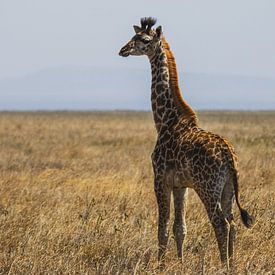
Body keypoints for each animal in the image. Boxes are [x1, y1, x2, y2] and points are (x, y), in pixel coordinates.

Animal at [119, 17, 256, 270]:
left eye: (143, 40)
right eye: (132, 37)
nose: (123, 50)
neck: (165, 120)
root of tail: (229, 156)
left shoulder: (160, 179)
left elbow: (162, 227)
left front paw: (161, 266)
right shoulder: (180, 185)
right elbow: (179, 228)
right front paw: (180, 264)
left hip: (207, 187)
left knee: (220, 223)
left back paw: (223, 265)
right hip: (227, 188)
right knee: (232, 222)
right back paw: (231, 264)